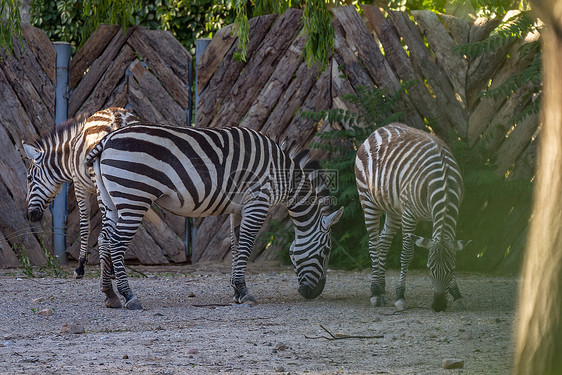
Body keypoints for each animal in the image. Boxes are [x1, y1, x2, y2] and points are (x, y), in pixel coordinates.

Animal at [23, 107, 139, 278]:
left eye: (30, 178)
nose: (29, 216)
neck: (69, 155)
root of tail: (118, 118)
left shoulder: (79, 185)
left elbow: (85, 225)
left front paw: (80, 266)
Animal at [85, 125, 342, 310]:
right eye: (327, 251)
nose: (314, 294)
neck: (283, 175)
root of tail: (107, 139)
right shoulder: (257, 202)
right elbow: (247, 245)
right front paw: (244, 292)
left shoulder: (238, 209)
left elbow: (237, 246)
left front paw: (237, 291)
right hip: (134, 197)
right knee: (117, 243)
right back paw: (129, 296)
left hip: (110, 200)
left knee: (105, 240)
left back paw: (110, 296)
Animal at [354, 122, 468, 312]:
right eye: (429, 269)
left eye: (452, 269)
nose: (438, 306)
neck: (444, 183)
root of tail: (380, 129)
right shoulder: (409, 215)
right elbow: (407, 254)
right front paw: (400, 296)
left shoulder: (452, 212)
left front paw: (457, 294)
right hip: (367, 199)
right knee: (373, 243)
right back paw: (375, 292)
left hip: (393, 208)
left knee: (384, 241)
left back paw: (382, 290)